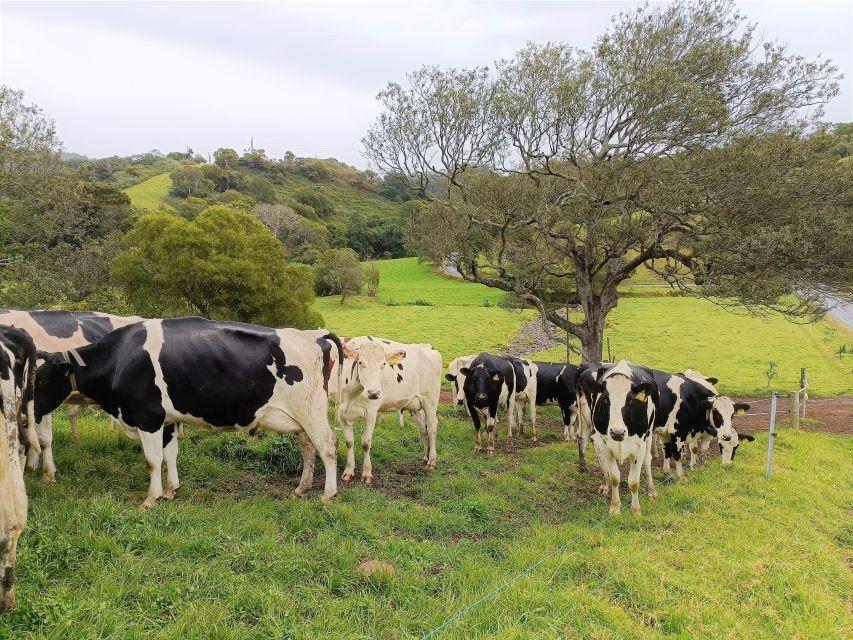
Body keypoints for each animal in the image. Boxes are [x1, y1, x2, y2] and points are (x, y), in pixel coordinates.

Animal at [35, 318, 342, 508]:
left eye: (43, 380)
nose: (32, 410)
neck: (121, 358)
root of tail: (313, 335)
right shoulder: (168, 420)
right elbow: (170, 454)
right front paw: (171, 490)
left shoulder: (147, 417)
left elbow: (152, 460)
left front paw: (151, 498)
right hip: (301, 419)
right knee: (308, 448)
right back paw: (302, 488)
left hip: (311, 412)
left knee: (327, 446)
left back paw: (328, 494)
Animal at [332, 338, 442, 482]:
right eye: (360, 362)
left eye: (383, 364)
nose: (374, 393)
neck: (351, 395)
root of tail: (427, 347)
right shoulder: (342, 413)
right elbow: (349, 442)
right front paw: (349, 471)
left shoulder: (371, 412)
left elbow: (366, 443)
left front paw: (367, 473)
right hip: (416, 406)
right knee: (423, 429)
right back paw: (426, 457)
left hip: (430, 402)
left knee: (432, 429)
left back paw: (432, 461)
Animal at [572, 360, 660, 516]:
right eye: (605, 399)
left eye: (630, 400)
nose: (617, 432)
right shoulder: (607, 445)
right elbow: (615, 478)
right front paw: (614, 507)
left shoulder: (639, 447)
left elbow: (634, 482)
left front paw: (636, 510)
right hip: (586, 420)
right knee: (585, 440)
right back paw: (602, 482)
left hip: (649, 435)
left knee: (647, 460)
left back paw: (651, 490)